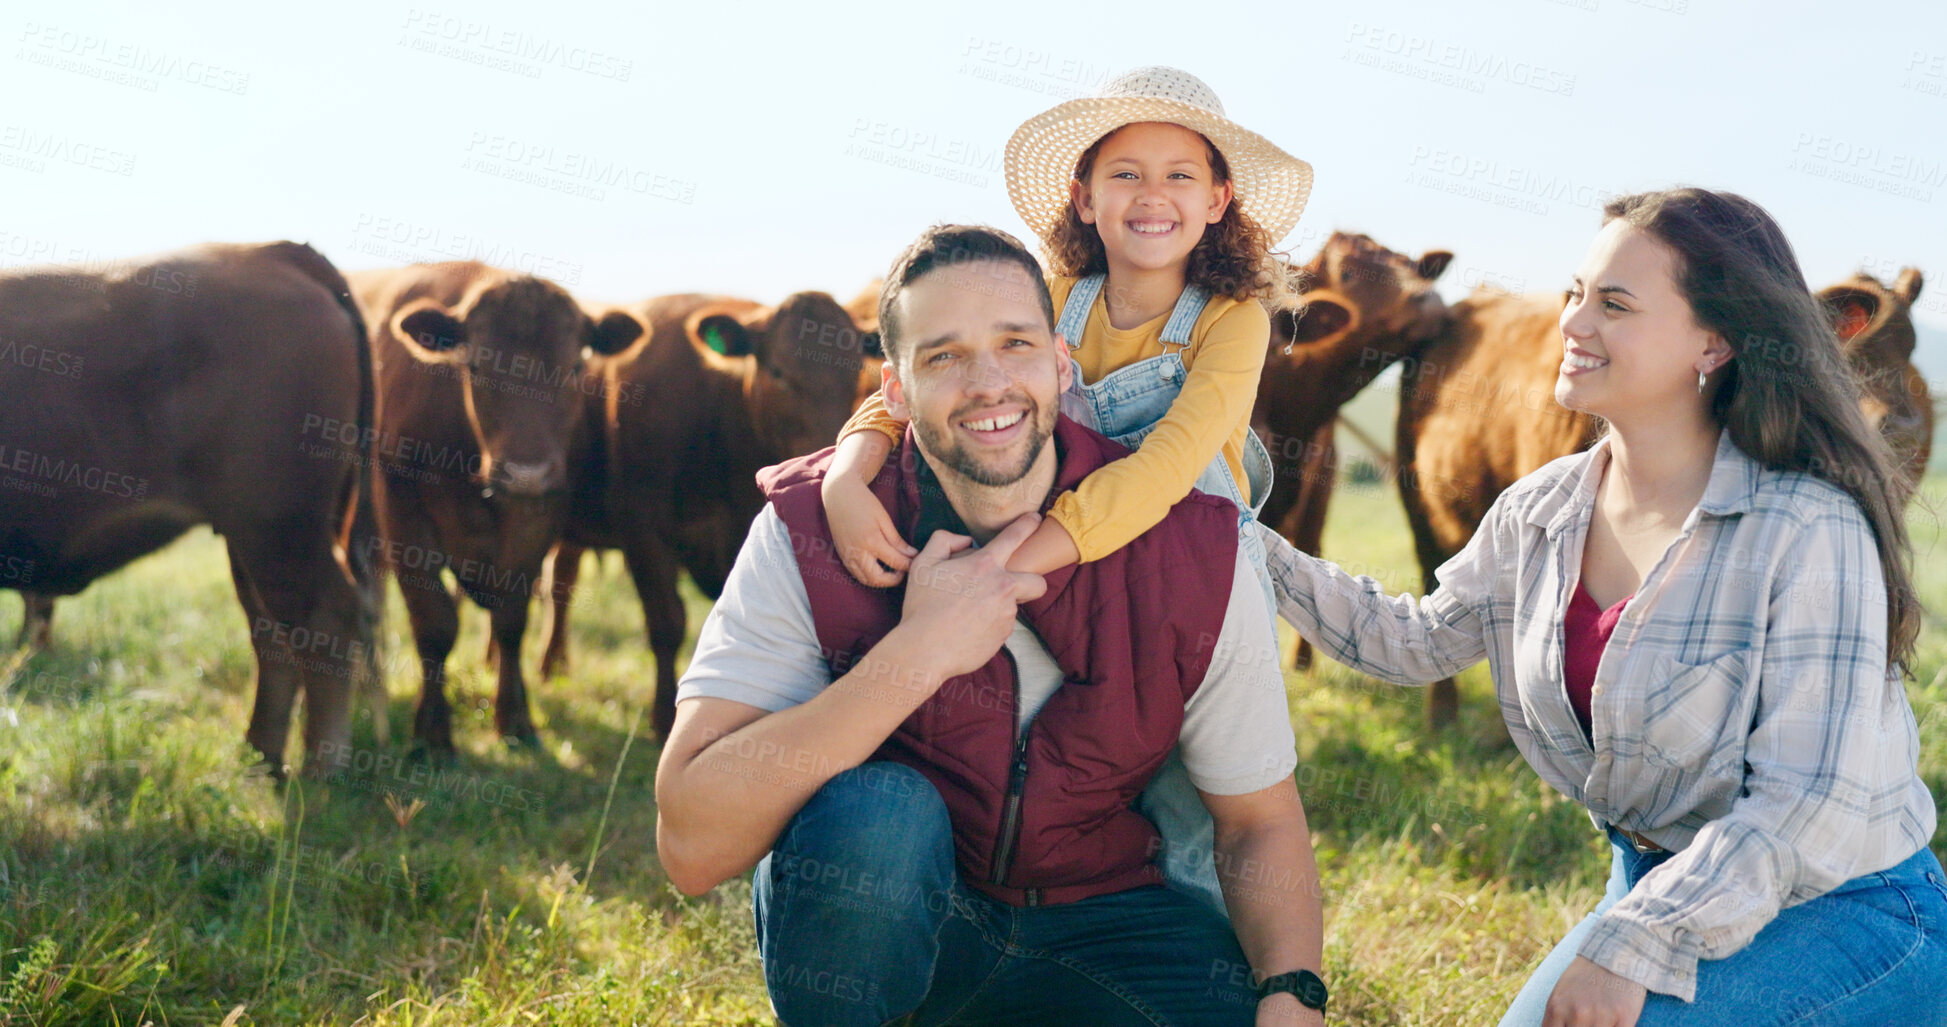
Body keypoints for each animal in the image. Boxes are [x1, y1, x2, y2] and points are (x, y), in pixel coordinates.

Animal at [0, 243, 383, 771]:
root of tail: (270, 252)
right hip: (251, 539)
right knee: (273, 634)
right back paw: (262, 759)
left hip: (280, 530)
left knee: (325, 619)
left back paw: (320, 769)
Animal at [354, 263, 642, 763]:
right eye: (474, 366)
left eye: (575, 367)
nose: (526, 474)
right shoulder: (403, 516)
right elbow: (434, 623)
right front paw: (432, 732)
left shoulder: (538, 520)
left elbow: (511, 619)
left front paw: (516, 720)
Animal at [537, 292, 864, 740]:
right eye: (777, 371)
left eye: (856, 375)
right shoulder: (644, 534)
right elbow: (668, 624)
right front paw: (663, 720)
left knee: (561, 581)